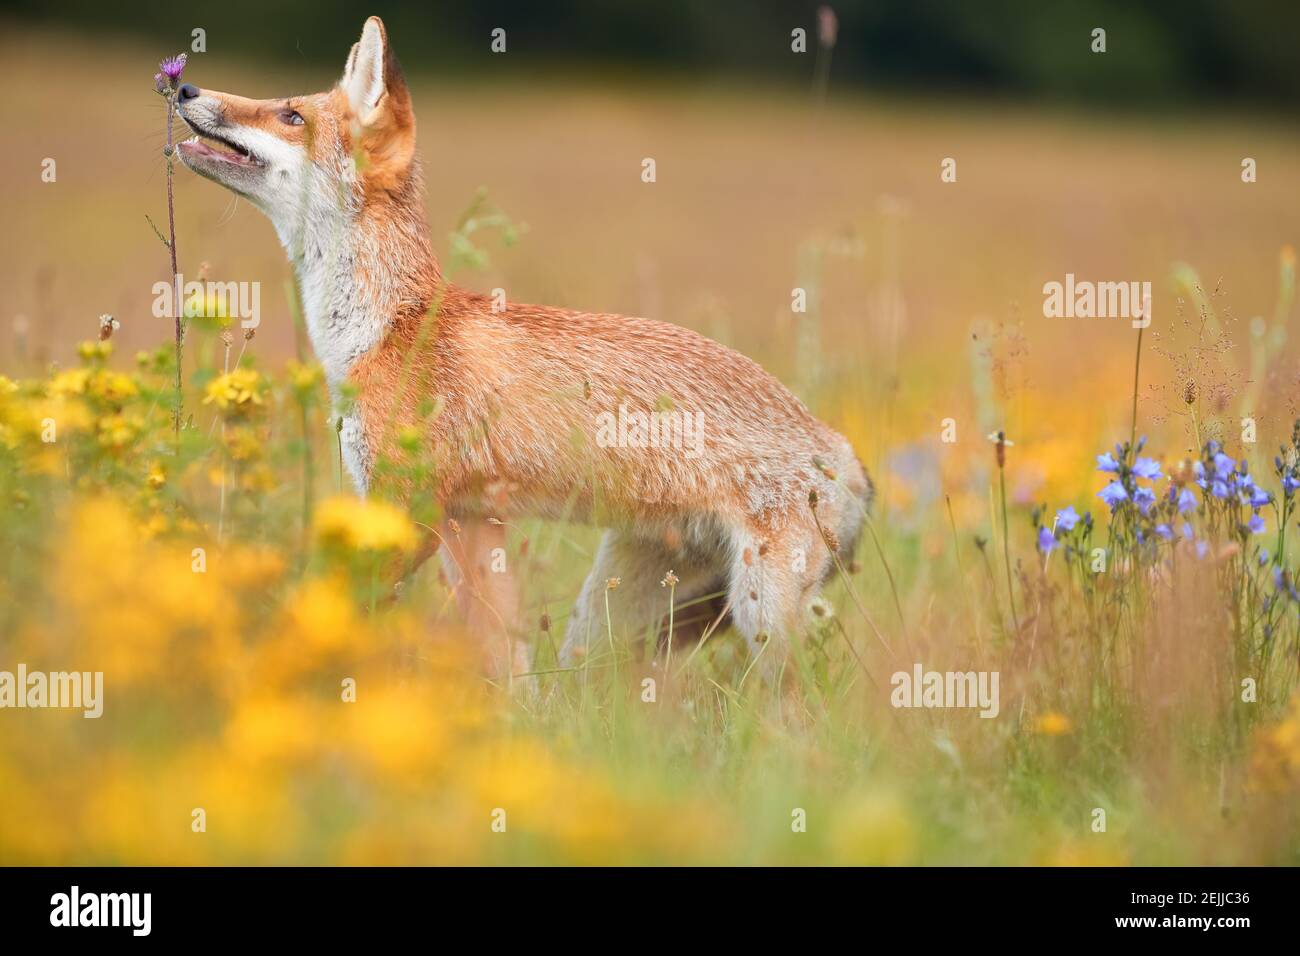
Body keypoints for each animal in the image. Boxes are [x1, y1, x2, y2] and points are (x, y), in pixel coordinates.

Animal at [178, 14, 873, 681]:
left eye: (290, 116)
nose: (184, 88)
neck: (387, 327)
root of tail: (849, 457)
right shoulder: (472, 524)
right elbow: (510, 674)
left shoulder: (406, 510)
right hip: (607, 622)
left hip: (759, 621)